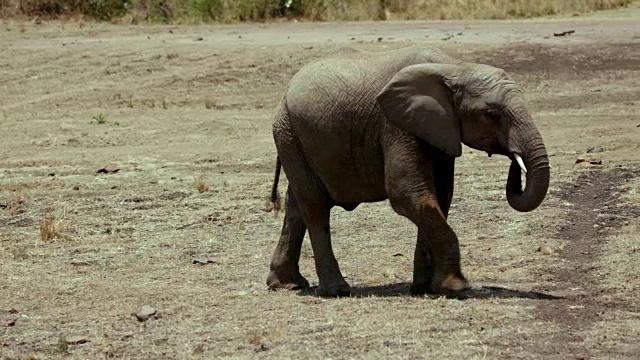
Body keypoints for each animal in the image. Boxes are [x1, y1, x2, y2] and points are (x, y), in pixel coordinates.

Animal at [264, 45, 552, 298]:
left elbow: (439, 196)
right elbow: (406, 192)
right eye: (492, 114)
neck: (454, 68)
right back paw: (336, 291)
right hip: (288, 133)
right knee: (314, 205)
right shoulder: (395, 125)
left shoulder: (439, 129)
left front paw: (425, 288)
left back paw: (287, 284)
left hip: (293, 137)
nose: (514, 160)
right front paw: (456, 288)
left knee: (296, 204)